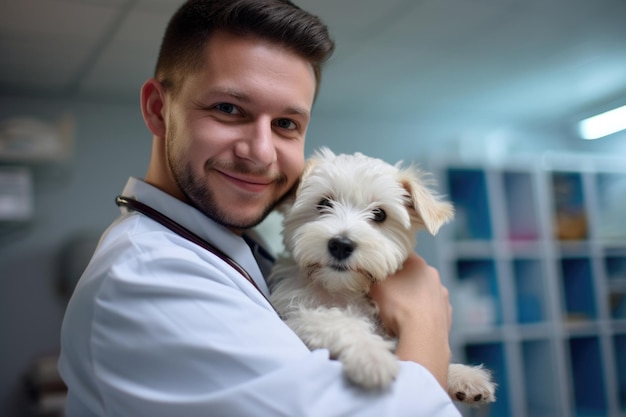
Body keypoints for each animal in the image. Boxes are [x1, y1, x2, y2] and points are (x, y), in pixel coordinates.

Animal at [266, 149, 494, 404]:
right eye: (324, 203)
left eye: (379, 214)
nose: (341, 245)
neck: (344, 289)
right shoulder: (295, 315)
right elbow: (334, 319)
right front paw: (371, 355)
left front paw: (462, 374)